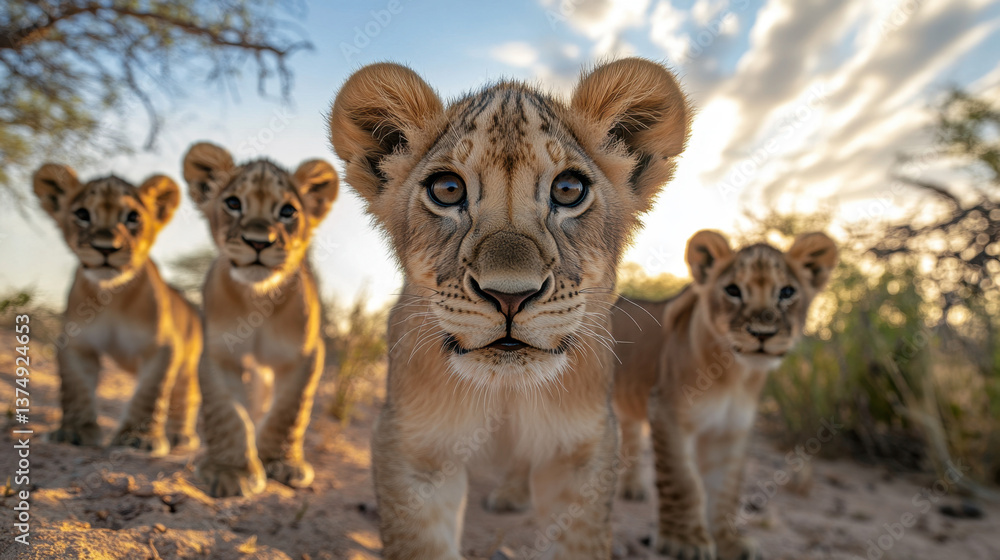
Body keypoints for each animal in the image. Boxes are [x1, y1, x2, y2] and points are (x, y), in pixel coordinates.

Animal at [33, 164, 201, 456]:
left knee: (185, 395)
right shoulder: (75, 342)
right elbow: (76, 390)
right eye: (82, 214)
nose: (105, 249)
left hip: (189, 363)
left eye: (133, 217)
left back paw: (180, 436)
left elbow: (151, 393)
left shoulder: (163, 347)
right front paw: (73, 432)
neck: (112, 296)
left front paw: (138, 438)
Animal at [181, 142, 339, 498]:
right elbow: (227, 414)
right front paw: (231, 471)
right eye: (233, 203)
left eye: (288, 211)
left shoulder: (305, 355)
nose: (258, 242)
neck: (257, 299)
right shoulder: (219, 354)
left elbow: (290, 411)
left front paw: (280, 463)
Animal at [328, 58, 691, 559]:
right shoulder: (411, 446)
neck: (506, 392)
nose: (510, 296)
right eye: (446, 189)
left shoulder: (584, 449)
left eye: (569, 188)